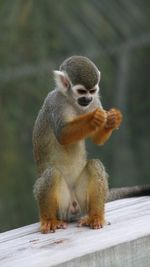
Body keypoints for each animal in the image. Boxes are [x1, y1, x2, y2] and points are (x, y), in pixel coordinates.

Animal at [33, 55, 150, 233]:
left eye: (92, 91)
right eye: (82, 91)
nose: (87, 99)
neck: (72, 101)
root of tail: (72, 208)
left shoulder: (95, 101)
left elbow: (97, 139)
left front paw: (112, 120)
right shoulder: (55, 103)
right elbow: (62, 135)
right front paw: (93, 118)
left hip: (82, 203)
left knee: (95, 165)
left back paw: (95, 216)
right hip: (62, 205)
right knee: (51, 174)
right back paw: (49, 219)